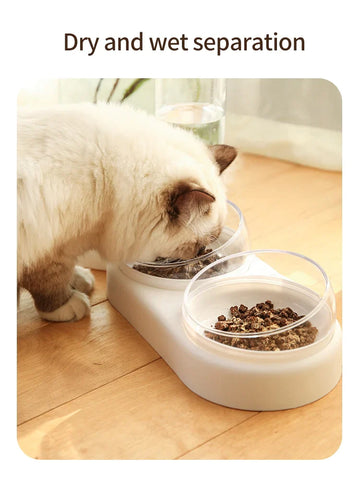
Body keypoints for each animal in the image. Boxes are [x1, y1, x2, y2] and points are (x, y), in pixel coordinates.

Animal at [17, 104, 236, 322]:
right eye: (198, 245)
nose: (201, 253)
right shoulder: (47, 247)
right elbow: (49, 280)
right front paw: (66, 306)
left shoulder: (68, 242)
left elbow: (67, 271)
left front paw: (79, 280)